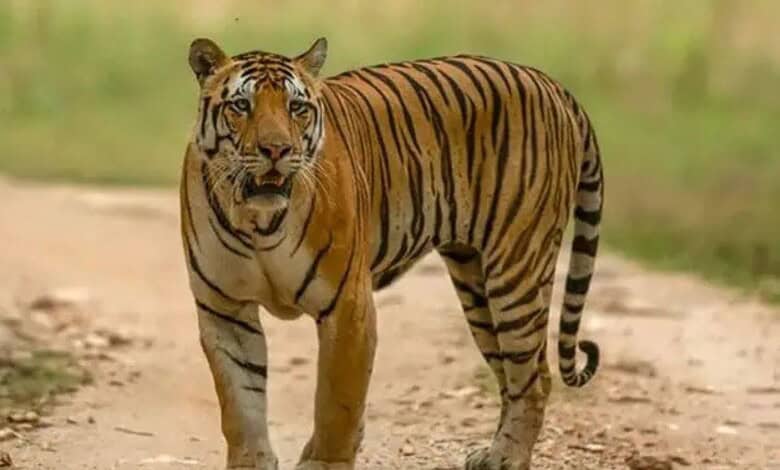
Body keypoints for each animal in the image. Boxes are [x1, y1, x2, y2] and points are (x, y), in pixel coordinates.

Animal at [180, 36, 603, 470]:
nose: (276, 149)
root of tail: (550, 83)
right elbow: (240, 404)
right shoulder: (224, 308)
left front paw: (325, 461)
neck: (257, 222)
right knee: (512, 374)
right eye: (241, 105)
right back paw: (492, 451)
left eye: (296, 108)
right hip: (476, 283)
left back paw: (507, 457)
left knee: (534, 378)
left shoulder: (346, 305)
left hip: (516, 271)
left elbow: (337, 402)